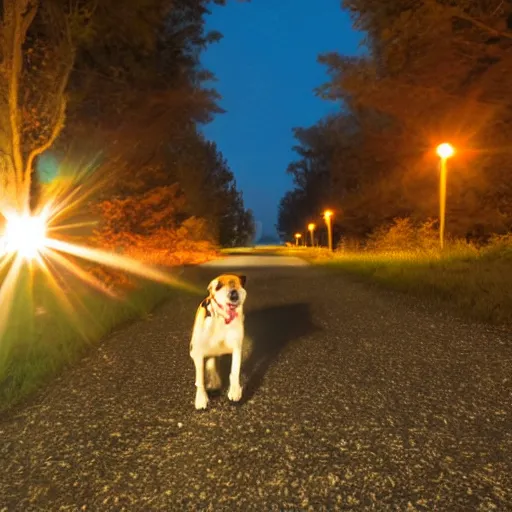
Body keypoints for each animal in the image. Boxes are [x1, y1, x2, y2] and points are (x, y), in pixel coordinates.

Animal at [191, 274, 249, 410]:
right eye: (218, 286)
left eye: (239, 284)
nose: (233, 294)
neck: (222, 320)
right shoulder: (198, 353)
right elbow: (200, 378)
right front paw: (201, 399)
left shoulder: (236, 347)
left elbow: (235, 370)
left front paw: (234, 391)